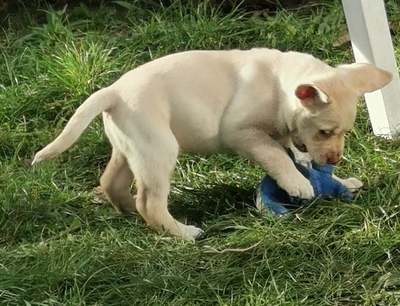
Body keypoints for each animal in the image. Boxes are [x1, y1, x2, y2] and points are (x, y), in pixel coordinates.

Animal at [32, 47, 392, 240]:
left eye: (345, 133)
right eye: (324, 132)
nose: (332, 160)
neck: (279, 87)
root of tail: (113, 92)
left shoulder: (284, 134)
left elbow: (292, 153)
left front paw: (338, 179)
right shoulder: (242, 132)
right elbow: (277, 156)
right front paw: (299, 184)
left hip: (131, 148)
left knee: (112, 182)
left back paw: (129, 213)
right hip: (158, 148)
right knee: (149, 201)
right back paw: (182, 233)